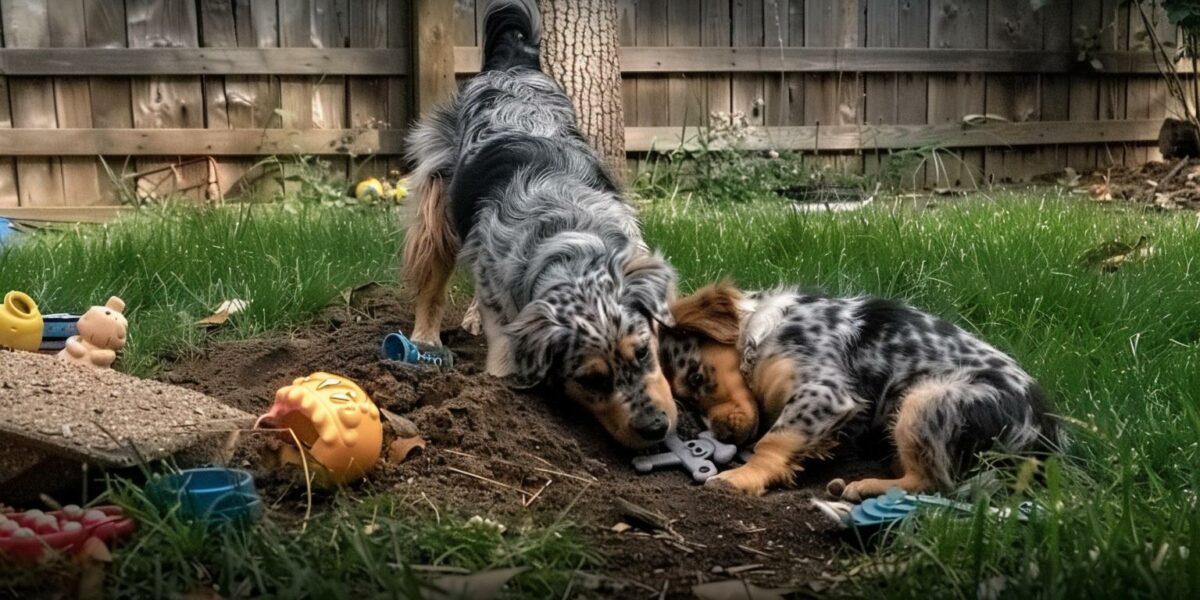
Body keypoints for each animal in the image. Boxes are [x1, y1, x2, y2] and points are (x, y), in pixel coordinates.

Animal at [403, 0, 681, 446]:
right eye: (590, 379)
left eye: (643, 351)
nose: (656, 429)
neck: (567, 233)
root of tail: (512, 64)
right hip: (437, 204)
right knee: (432, 280)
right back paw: (425, 339)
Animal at [657, 283, 1060, 499]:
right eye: (686, 403)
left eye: (697, 377)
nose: (723, 436)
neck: (763, 333)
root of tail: (1046, 442)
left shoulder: (825, 392)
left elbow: (773, 440)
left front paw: (742, 478)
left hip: (926, 400)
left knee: (932, 482)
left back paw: (866, 486)